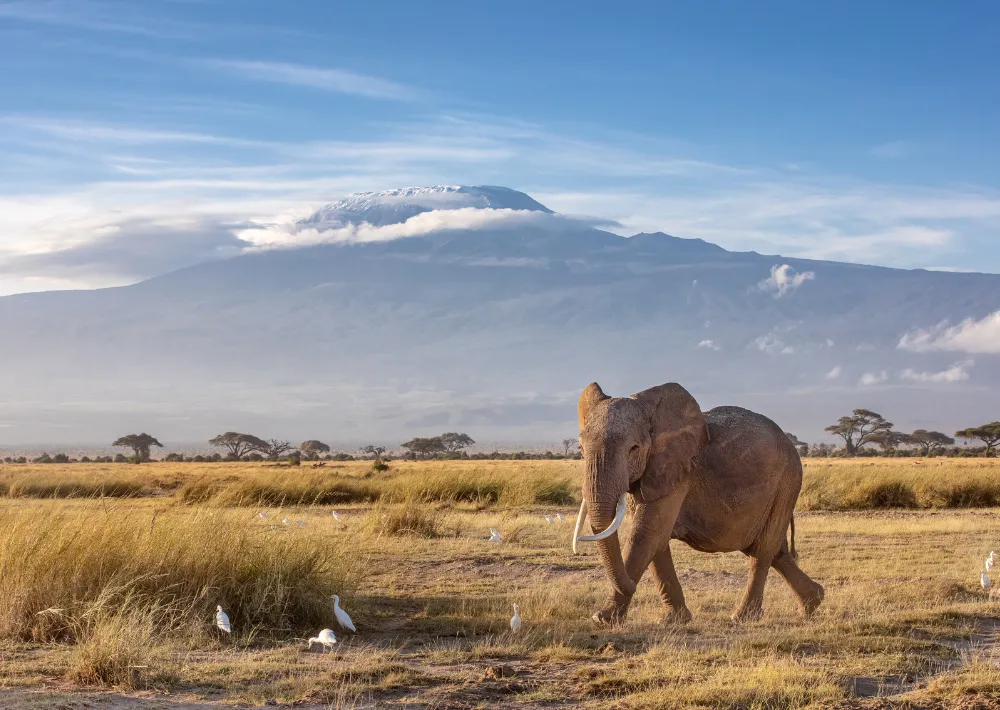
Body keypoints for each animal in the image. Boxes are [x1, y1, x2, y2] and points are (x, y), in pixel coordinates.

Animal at [576, 382, 824, 624]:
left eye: (633, 449)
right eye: (581, 450)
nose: (630, 586)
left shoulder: (678, 471)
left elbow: (646, 535)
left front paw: (602, 619)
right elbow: (657, 540)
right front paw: (675, 619)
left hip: (787, 481)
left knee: (762, 551)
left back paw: (742, 617)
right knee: (775, 551)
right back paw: (813, 602)